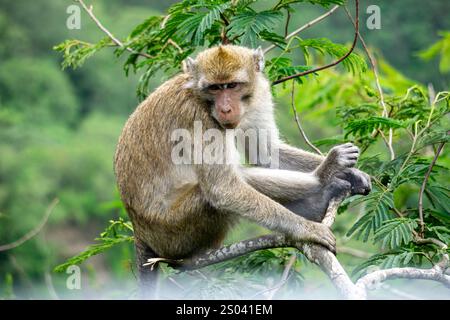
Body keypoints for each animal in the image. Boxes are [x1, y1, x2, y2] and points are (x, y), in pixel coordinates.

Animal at [114, 43, 370, 294]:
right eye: (215, 88)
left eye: (232, 86)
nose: (226, 109)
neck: (197, 94)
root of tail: (141, 231)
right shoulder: (197, 116)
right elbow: (222, 189)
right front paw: (307, 229)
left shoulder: (260, 95)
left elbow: (266, 153)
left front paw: (350, 173)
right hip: (175, 232)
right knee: (224, 188)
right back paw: (323, 178)